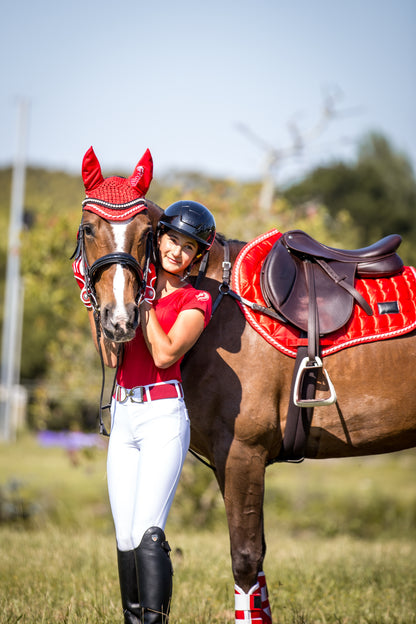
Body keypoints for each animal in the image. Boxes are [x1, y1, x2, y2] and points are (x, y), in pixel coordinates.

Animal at [76, 150, 416, 620]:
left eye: (145, 233)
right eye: (90, 228)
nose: (121, 318)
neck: (219, 305)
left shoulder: (243, 453)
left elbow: (245, 561)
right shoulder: (228, 461)